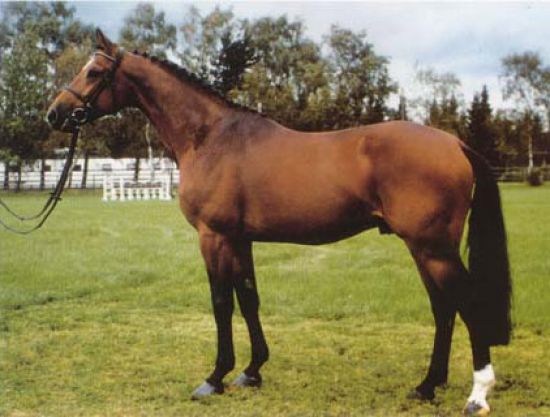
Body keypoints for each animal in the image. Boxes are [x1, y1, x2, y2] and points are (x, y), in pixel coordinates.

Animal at [47, 29, 511, 416]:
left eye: (94, 71)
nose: (55, 113)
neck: (210, 137)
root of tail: (455, 144)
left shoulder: (213, 237)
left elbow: (221, 302)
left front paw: (214, 377)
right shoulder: (240, 240)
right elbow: (249, 298)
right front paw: (251, 371)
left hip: (433, 249)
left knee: (466, 304)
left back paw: (477, 395)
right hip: (424, 248)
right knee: (444, 308)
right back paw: (428, 385)